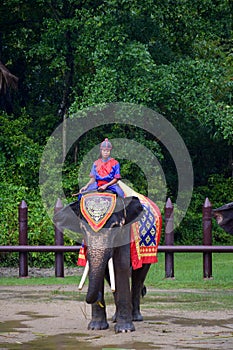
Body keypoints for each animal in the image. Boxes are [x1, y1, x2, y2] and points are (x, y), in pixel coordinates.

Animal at [53, 190, 161, 332]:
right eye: (82, 228)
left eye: (114, 226)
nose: (97, 298)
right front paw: (96, 327)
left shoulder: (124, 232)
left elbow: (121, 266)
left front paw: (124, 329)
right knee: (111, 277)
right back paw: (115, 317)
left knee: (139, 276)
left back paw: (135, 317)